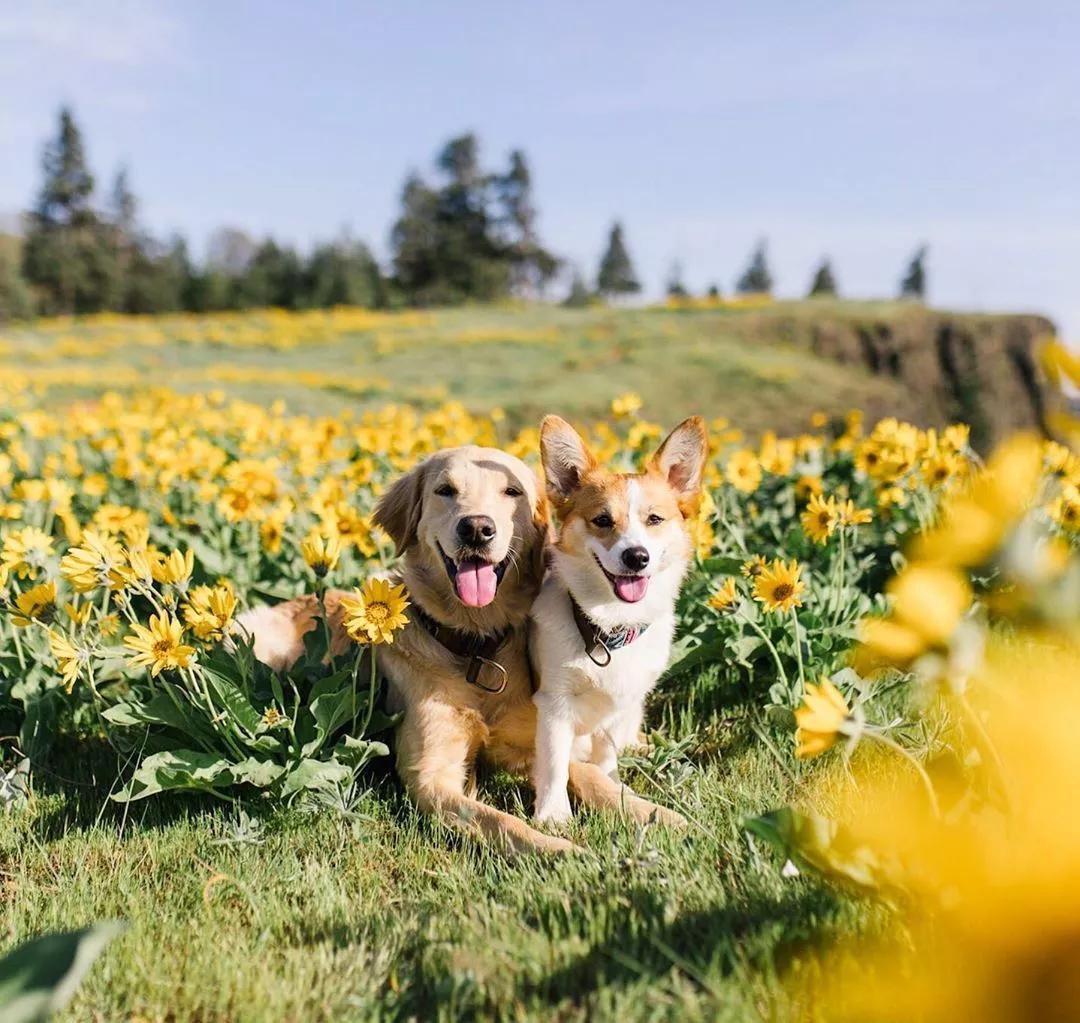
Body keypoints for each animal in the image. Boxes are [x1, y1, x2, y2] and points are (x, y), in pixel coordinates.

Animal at [238, 447, 648, 855]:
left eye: (511, 491)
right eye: (445, 490)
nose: (477, 528)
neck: (476, 648)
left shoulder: (531, 741)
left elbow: (590, 776)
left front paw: (652, 813)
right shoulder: (430, 775)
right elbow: (500, 821)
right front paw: (560, 850)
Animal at [531, 416, 708, 833]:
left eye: (655, 519)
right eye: (602, 520)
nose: (636, 557)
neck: (608, 628)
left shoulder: (621, 705)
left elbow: (606, 758)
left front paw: (613, 786)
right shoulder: (553, 703)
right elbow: (554, 763)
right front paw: (553, 814)